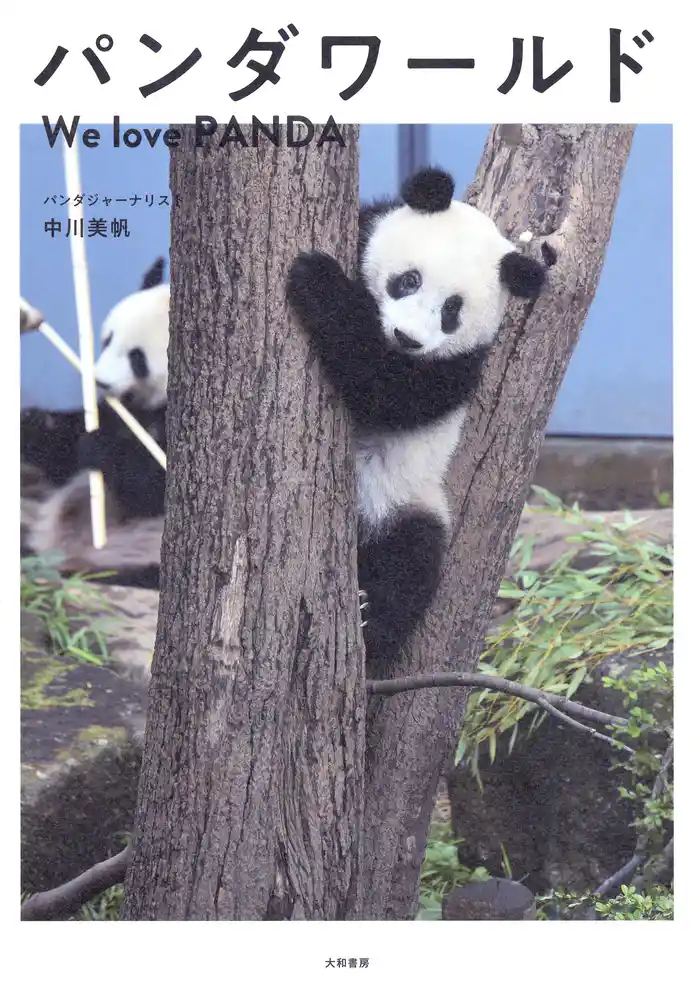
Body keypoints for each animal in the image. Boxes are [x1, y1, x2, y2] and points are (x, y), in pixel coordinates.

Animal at [286, 166, 549, 671]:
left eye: (451, 311)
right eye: (408, 280)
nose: (407, 337)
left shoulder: (458, 368)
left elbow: (383, 389)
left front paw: (318, 280)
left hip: (408, 504)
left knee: (410, 565)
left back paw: (370, 626)